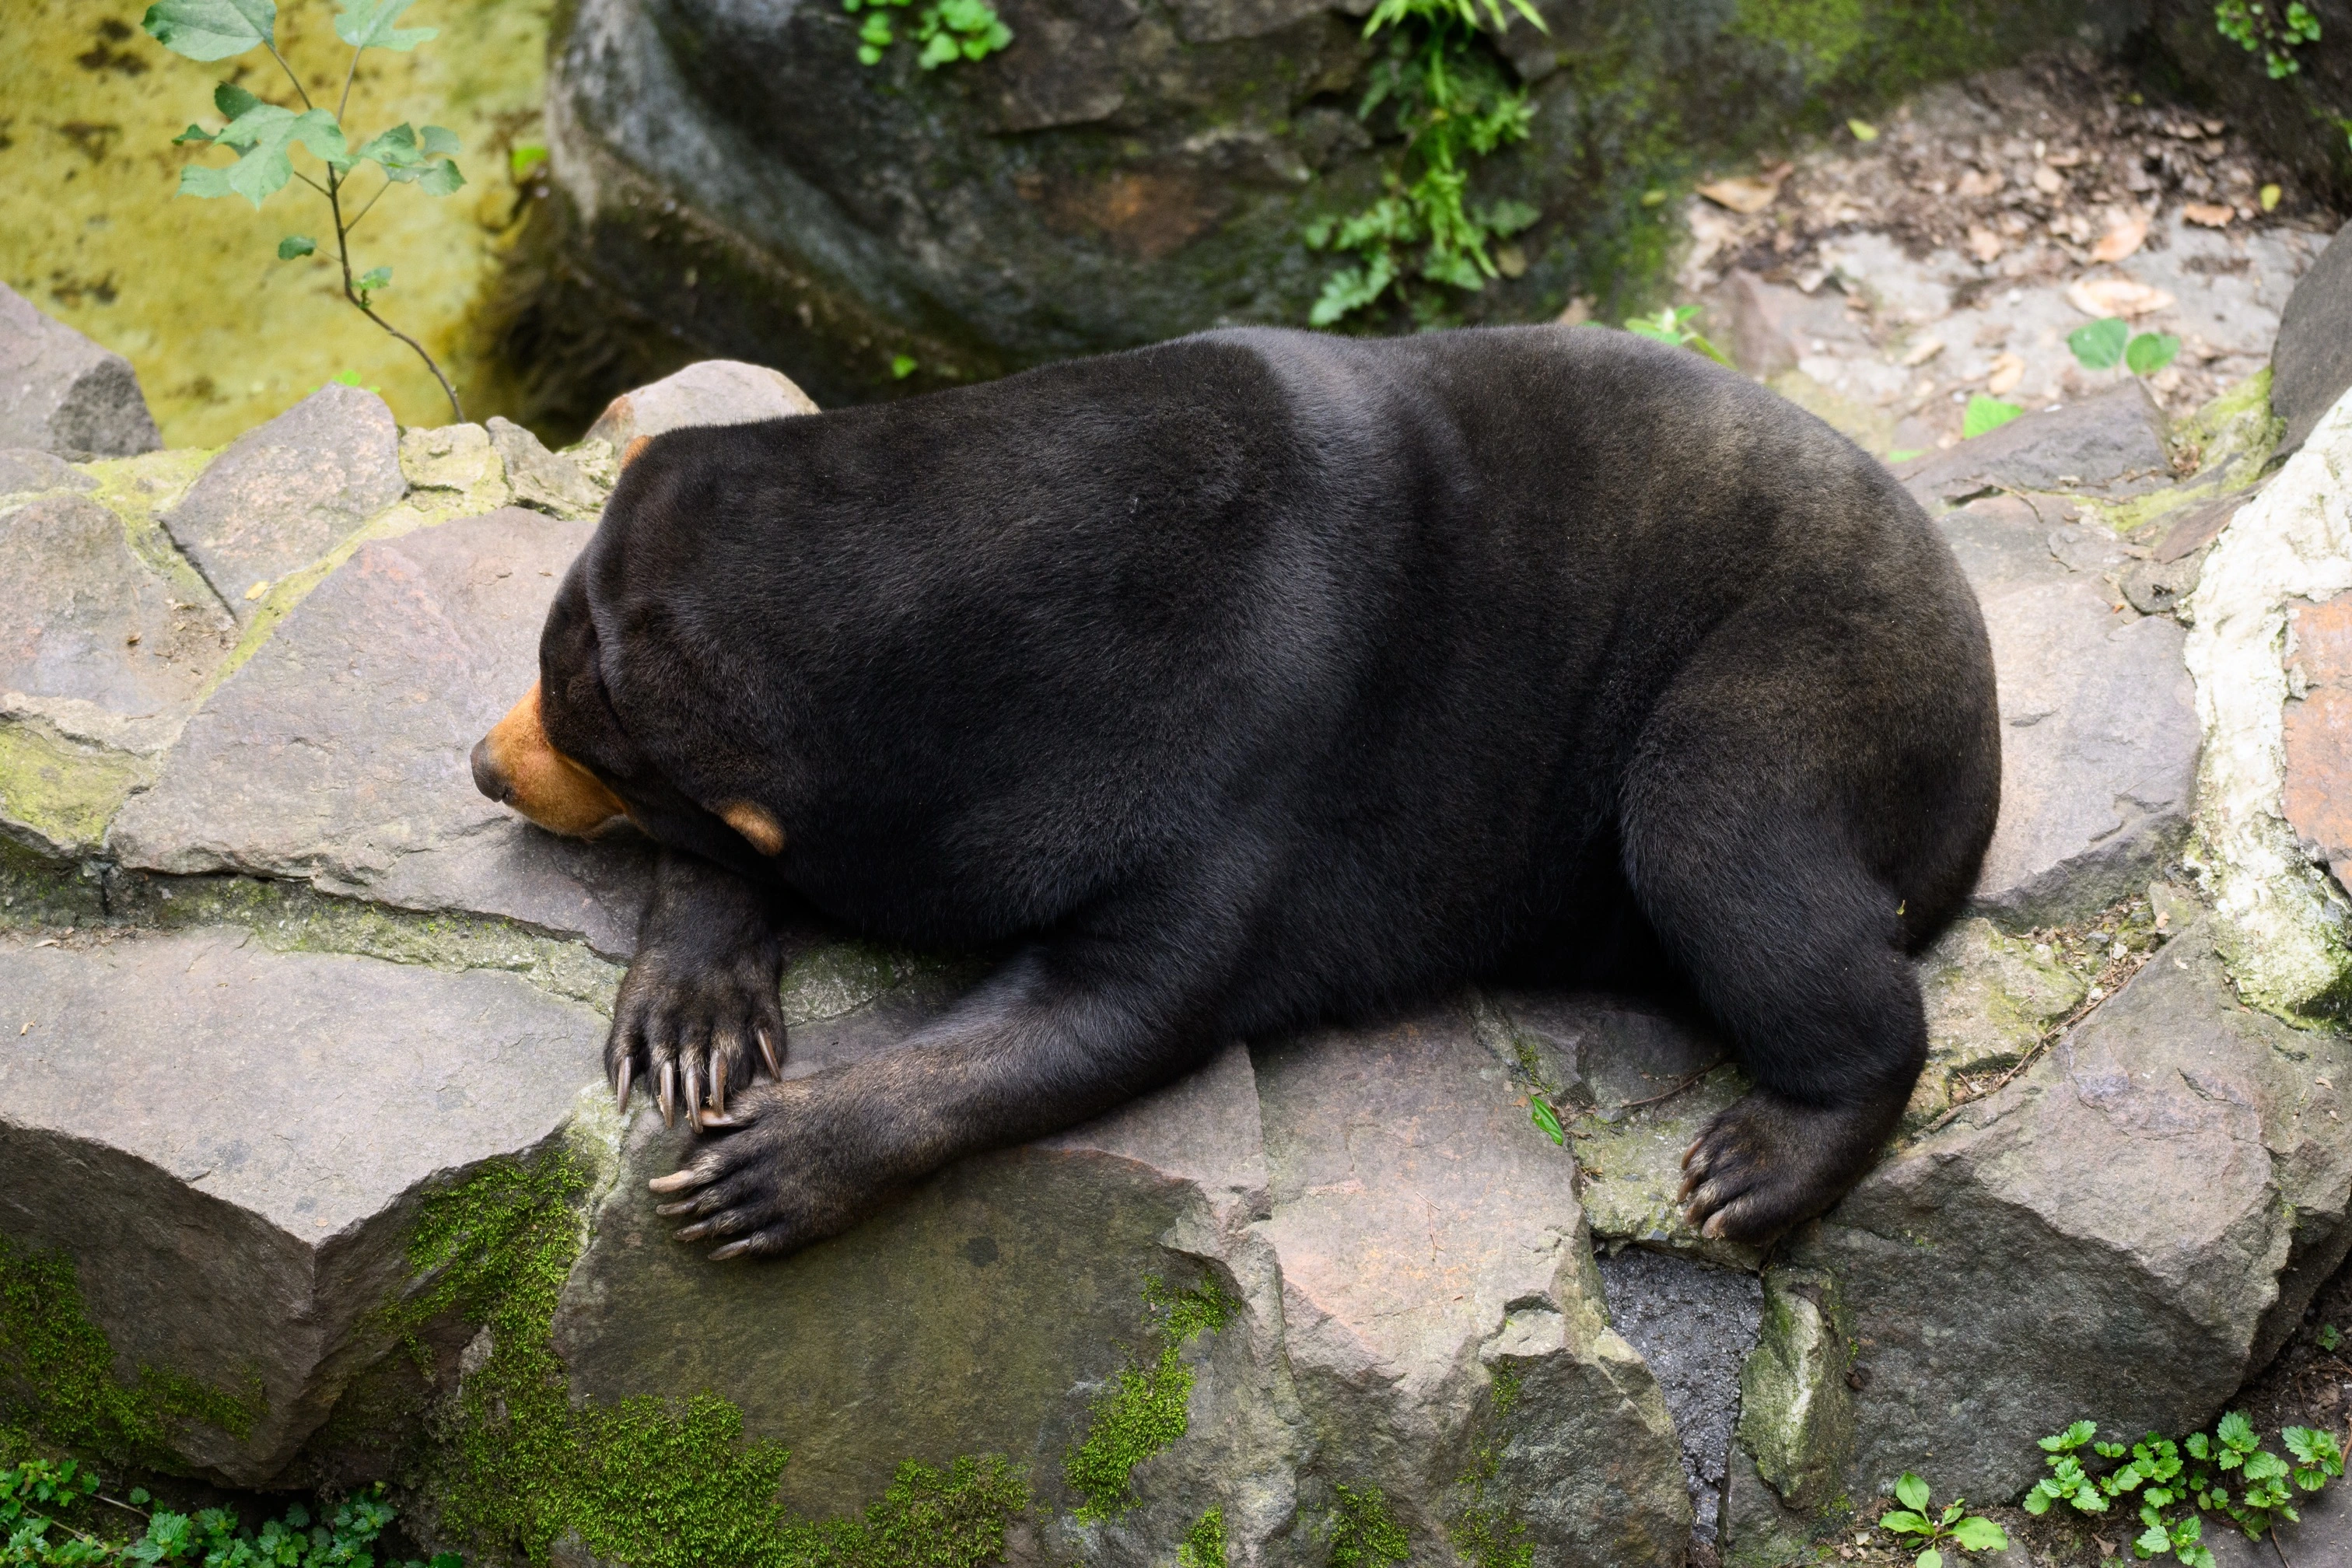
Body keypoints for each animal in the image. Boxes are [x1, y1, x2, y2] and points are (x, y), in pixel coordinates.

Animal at [470, 323, 2000, 1260]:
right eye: (551, 677)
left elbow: (1126, 1006)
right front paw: (692, 1022)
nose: (487, 763)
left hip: (1817, 682)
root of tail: (1979, 728)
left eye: (573, 724)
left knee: (1723, 845)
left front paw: (768, 1165)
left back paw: (1760, 1162)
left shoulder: (1239, 749)